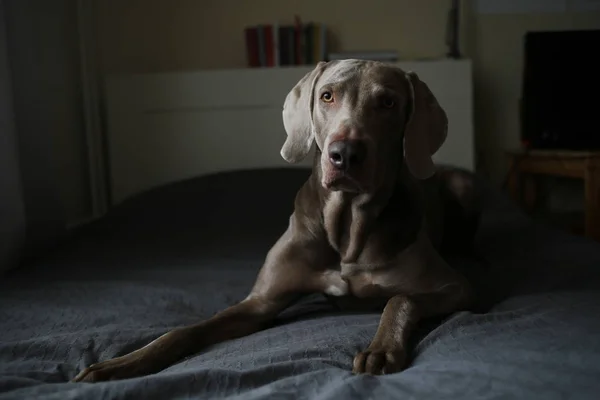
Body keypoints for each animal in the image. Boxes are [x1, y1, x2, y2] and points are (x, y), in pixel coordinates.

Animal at [72, 58, 480, 382]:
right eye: (327, 96)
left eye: (388, 102)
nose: (345, 154)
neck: (345, 229)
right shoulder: (259, 303)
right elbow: (187, 330)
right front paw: (120, 363)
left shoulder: (457, 288)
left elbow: (401, 298)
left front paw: (381, 349)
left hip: (463, 185)